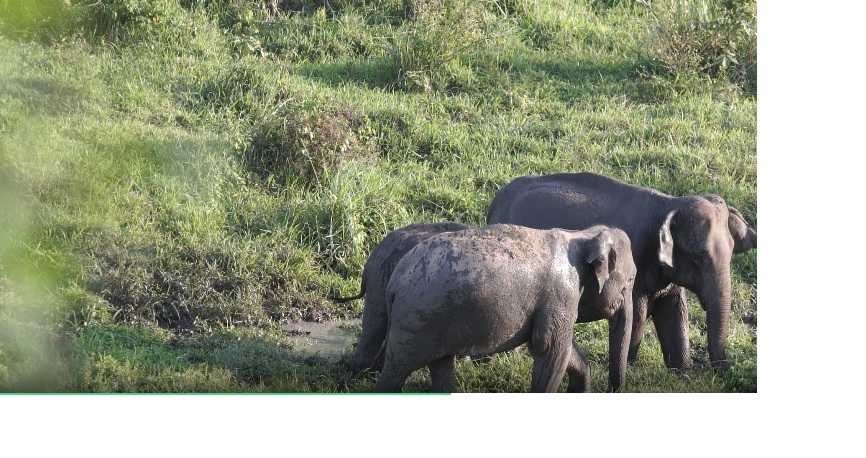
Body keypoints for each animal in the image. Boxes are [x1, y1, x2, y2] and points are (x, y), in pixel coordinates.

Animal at [375, 224, 636, 393]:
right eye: (632, 279)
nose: (613, 389)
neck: (582, 234)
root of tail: (393, 283)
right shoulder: (561, 294)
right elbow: (550, 349)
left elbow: (562, 350)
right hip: (415, 323)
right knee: (395, 372)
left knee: (441, 366)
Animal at [487, 173, 757, 369]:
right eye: (698, 258)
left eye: (731, 255)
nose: (722, 371)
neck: (668, 203)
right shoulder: (633, 263)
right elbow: (637, 315)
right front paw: (630, 364)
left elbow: (675, 312)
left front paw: (682, 371)